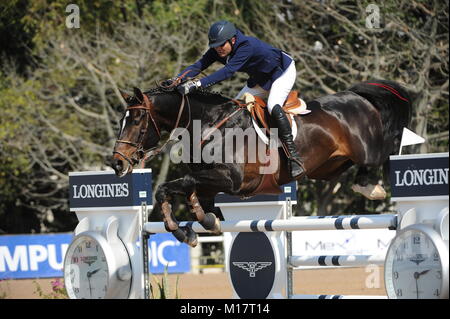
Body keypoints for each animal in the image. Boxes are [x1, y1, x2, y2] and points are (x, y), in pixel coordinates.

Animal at [111, 80, 412, 248]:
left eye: (136, 121)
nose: (117, 164)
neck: (209, 124)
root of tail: (356, 96)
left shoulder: (230, 180)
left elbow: (178, 184)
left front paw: (185, 231)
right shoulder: (210, 181)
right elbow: (187, 194)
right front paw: (196, 227)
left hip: (367, 150)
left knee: (384, 153)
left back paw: (373, 187)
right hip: (329, 166)